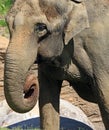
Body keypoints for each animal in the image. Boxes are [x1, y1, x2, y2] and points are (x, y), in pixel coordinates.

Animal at [3, 0, 109, 129]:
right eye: (7, 22)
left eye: (41, 27)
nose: (31, 85)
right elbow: (47, 98)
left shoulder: (99, 53)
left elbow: (106, 99)